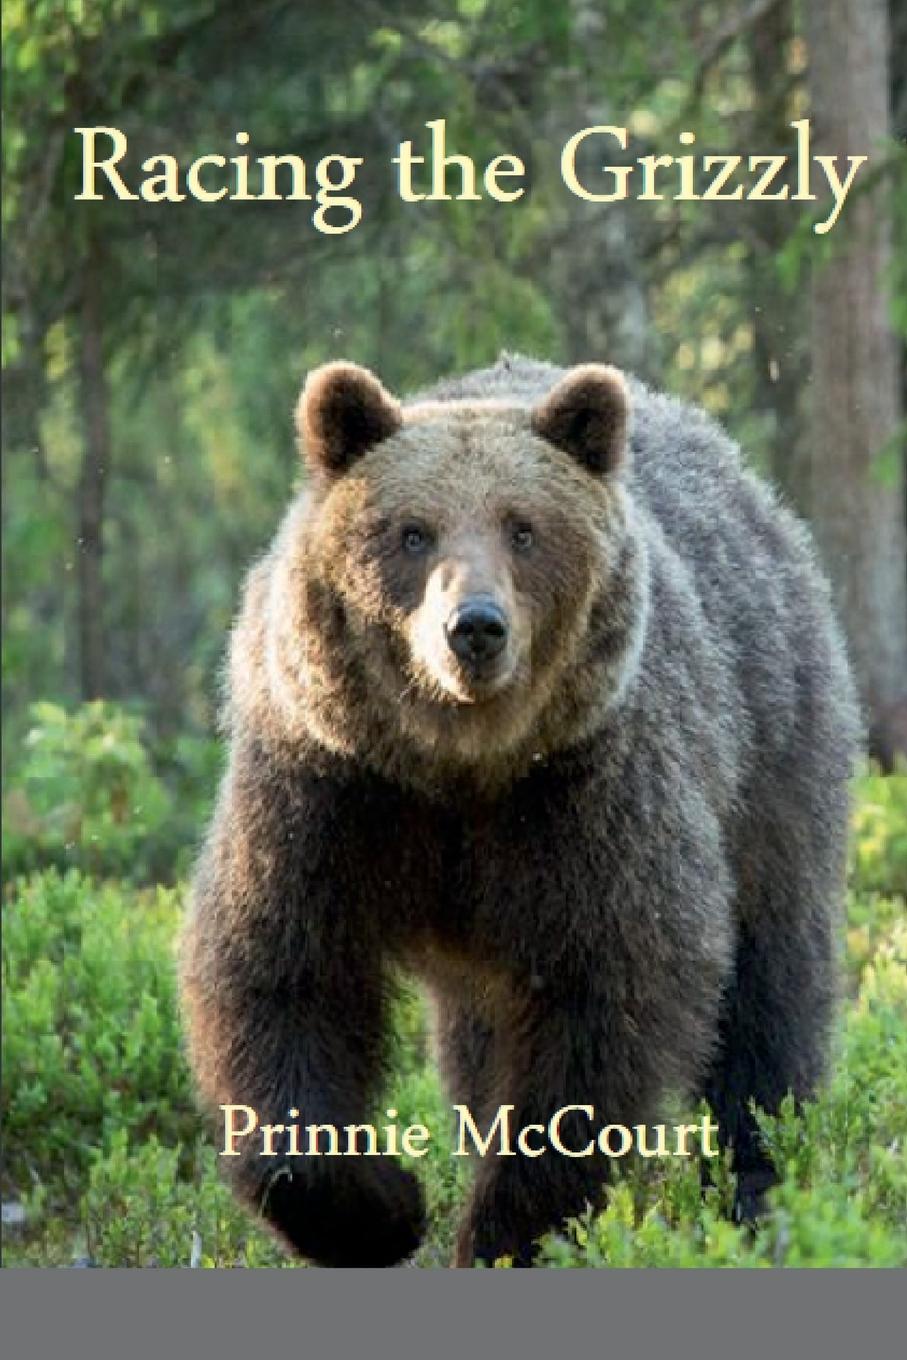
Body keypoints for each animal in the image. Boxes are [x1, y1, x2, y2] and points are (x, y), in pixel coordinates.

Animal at [179, 353, 860, 1267]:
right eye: (412, 531)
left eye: (523, 528)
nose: (474, 628)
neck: (460, 767)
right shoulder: (329, 788)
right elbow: (281, 971)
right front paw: (381, 1206)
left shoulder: (587, 797)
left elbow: (606, 1001)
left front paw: (509, 1229)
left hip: (771, 753)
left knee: (769, 986)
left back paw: (759, 1186)